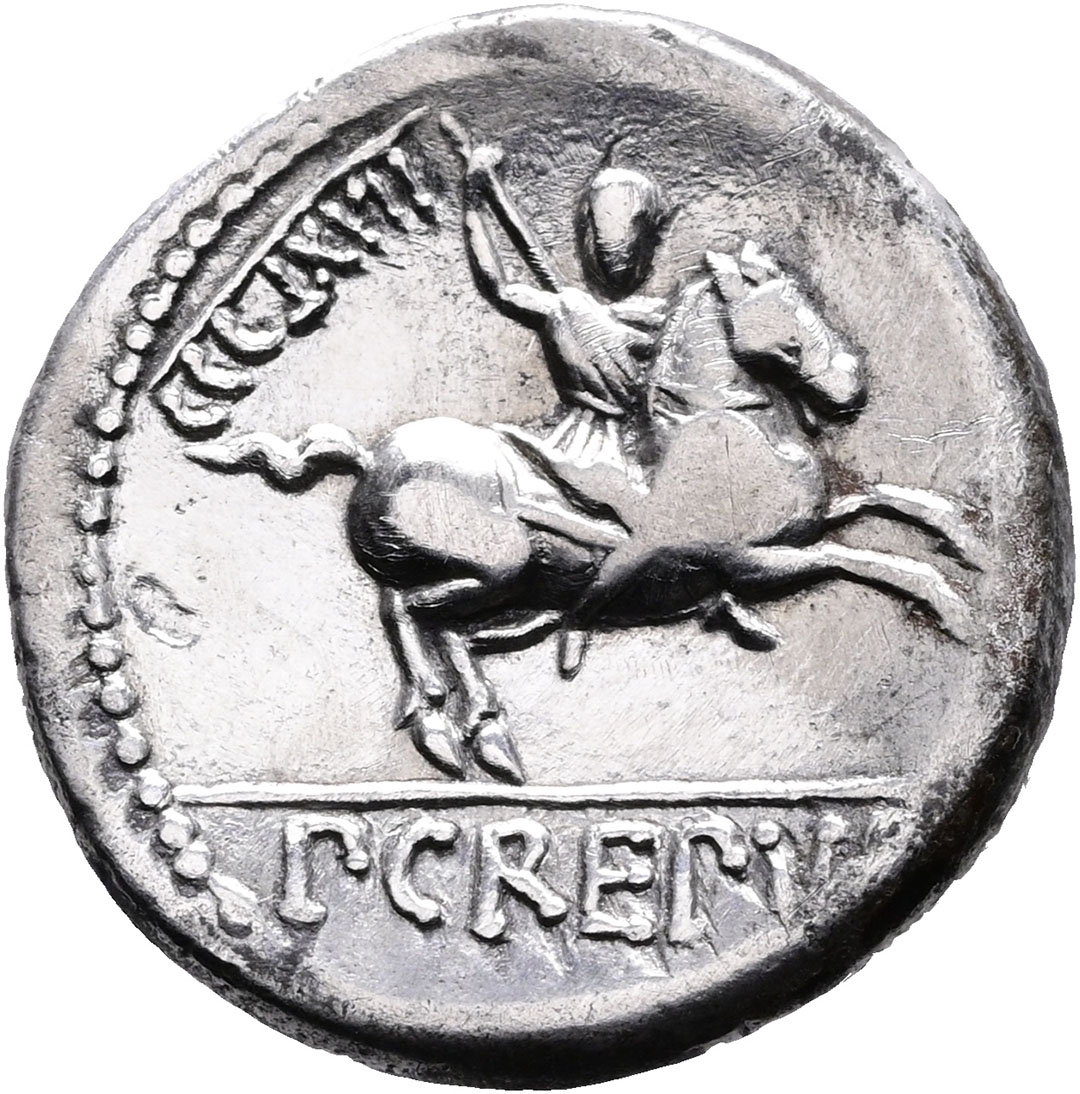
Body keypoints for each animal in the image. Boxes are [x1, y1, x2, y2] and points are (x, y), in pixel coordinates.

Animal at [187, 241, 980, 785]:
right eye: (789, 318)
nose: (850, 388)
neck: (720, 431)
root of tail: (371, 459)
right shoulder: (757, 561)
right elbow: (866, 559)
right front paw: (952, 610)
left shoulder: (807, 523)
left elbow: (880, 503)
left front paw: (960, 536)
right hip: (500, 568)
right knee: (410, 613)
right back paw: (451, 730)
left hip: (515, 589)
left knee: (438, 625)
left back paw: (480, 732)